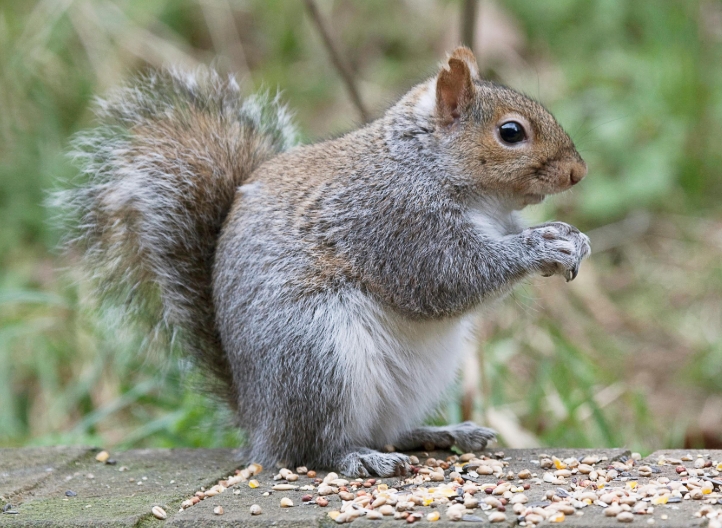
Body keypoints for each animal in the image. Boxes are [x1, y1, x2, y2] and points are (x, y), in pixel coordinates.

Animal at [54, 47, 584, 476]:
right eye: (510, 132)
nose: (578, 172)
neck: (426, 164)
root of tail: (259, 424)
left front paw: (571, 238)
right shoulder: (395, 221)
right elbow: (447, 279)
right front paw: (539, 246)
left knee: (383, 430)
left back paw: (440, 433)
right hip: (315, 356)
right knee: (315, 448)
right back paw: (360, 459)